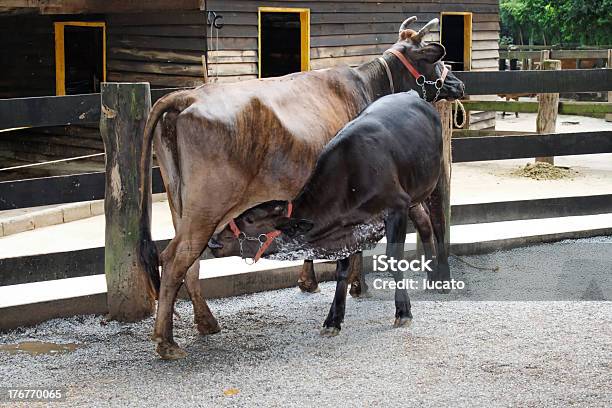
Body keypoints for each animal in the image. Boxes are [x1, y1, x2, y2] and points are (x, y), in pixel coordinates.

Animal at [139, 17, 464, 358]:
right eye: (435, 60)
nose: (458, 84)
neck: (370, 84)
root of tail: (187, 96)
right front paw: (358, 286)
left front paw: (310, 282)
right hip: (208, 205)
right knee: (176, 258)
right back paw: (166, 341)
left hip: (180, 203)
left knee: (188, 261)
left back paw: (205, 322)